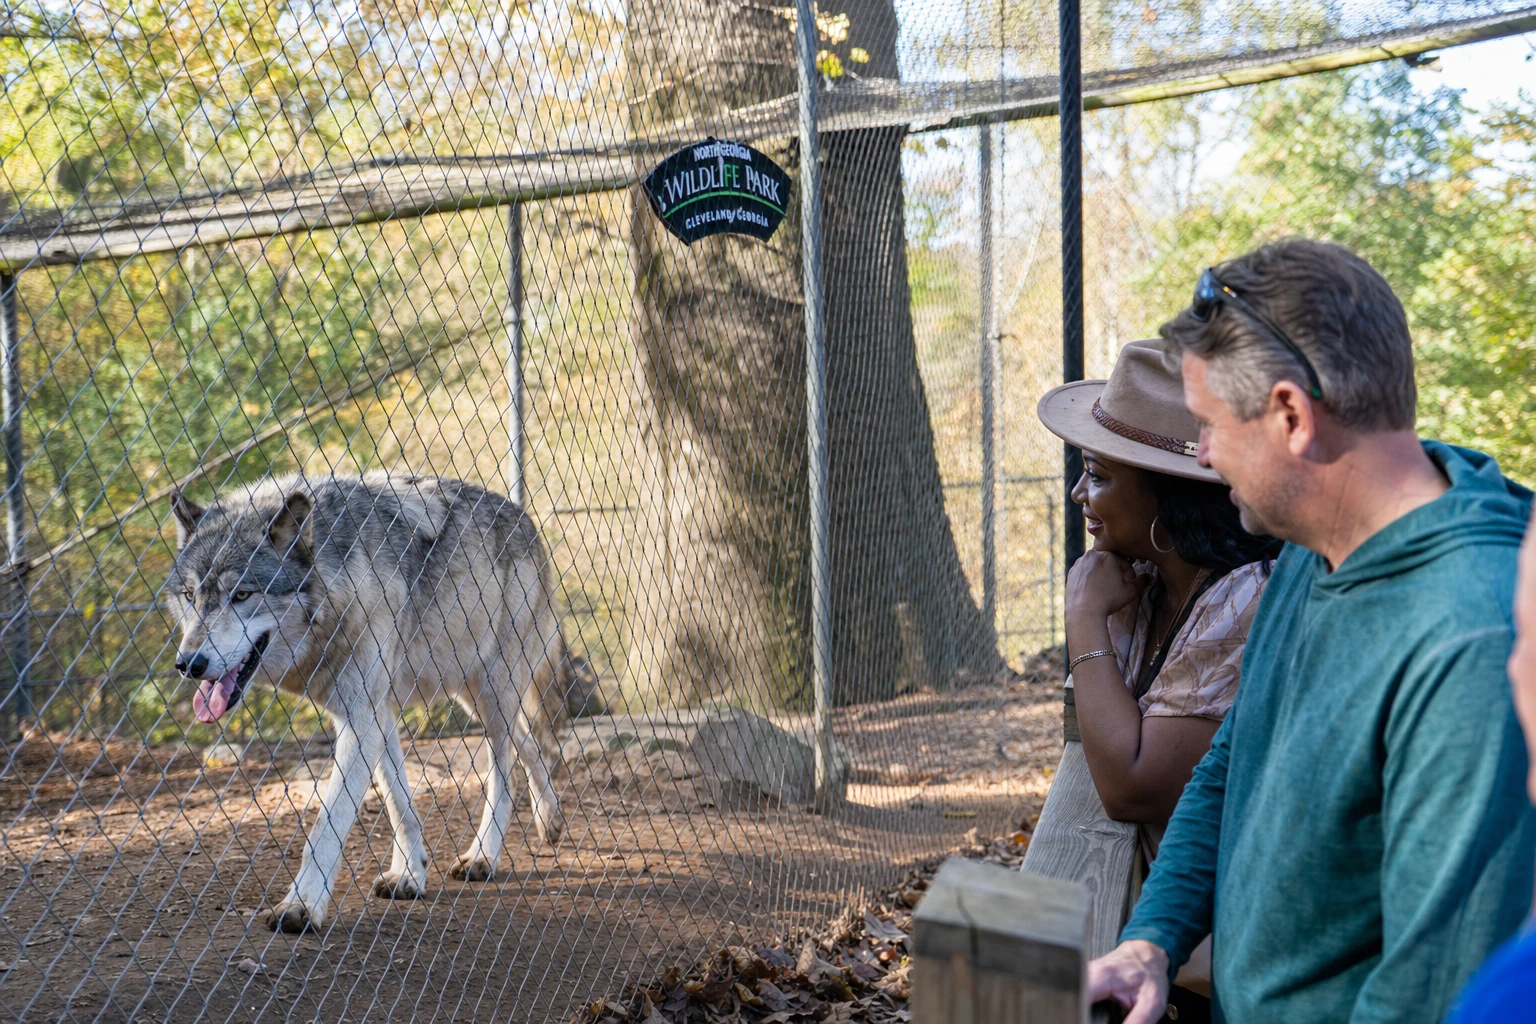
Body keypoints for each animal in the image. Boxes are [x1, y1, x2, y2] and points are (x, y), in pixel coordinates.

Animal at [168, 472, 567, 933]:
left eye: (243, 594)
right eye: (189, 595)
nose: (189, 663)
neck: (340, 584)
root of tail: (523, 517)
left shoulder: (361, 716)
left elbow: (327, 824)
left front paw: (301, 905)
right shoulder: (374, 712)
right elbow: (399, 803)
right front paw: (409, 874)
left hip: (492, 691)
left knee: (504, 774)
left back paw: (484, 855)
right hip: (469, 691)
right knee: (530, 741)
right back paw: (550, 819)